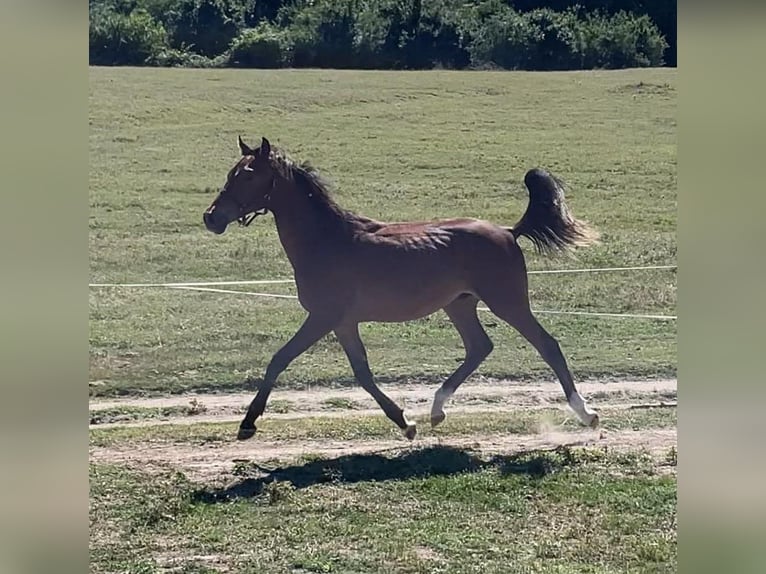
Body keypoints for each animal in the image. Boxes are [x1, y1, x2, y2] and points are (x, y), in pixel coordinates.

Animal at [207, 137, 604, 444]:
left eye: (247, 175)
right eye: (231, 172)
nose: (211, 217)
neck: (326, 240)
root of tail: (508, 231)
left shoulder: (323, 317)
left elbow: (280, 359)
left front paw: (247, 424)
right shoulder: (343, 323)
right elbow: (363, 373)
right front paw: (406, 423)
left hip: (507, 302)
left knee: (547, 345)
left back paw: (587, 414)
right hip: (460, 304)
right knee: (480, 347)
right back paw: (436, 410)